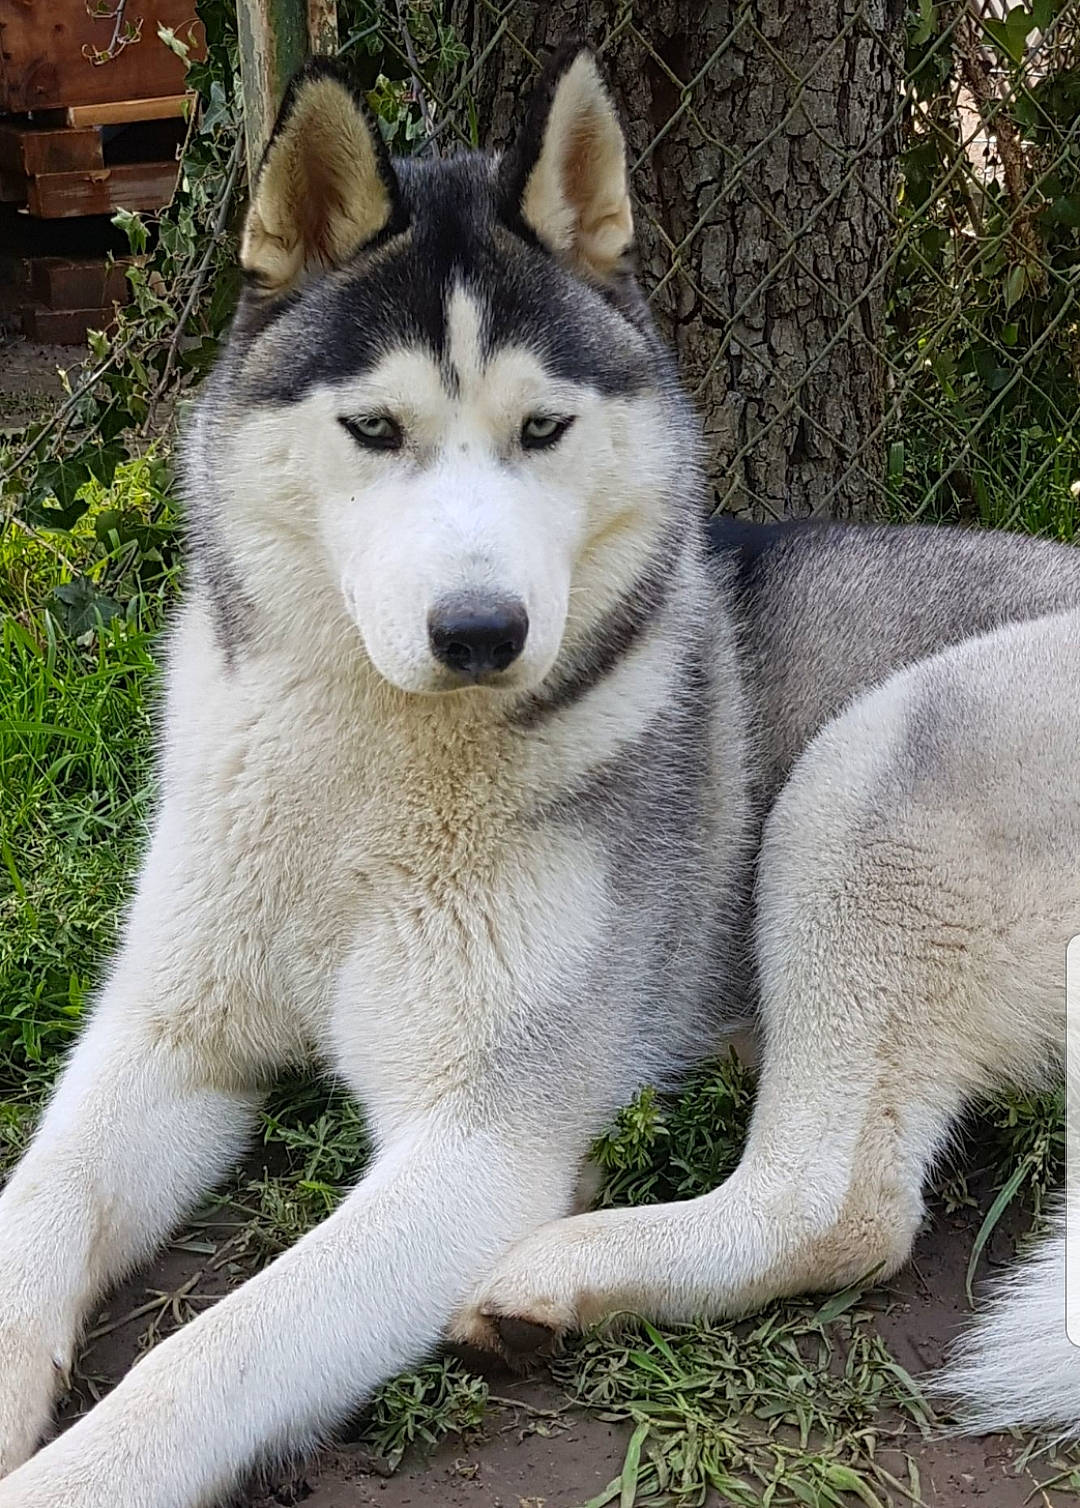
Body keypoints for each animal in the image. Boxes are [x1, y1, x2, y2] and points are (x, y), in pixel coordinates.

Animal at [1, 44, 1079, 1507]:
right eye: (373, 428)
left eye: (546, 428)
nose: (481, 631)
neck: (369, 777)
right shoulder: (166, 1034)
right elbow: (38, 1205)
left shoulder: (474, 1151)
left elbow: (209, 1355)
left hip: (871, 765)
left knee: (838, 1207)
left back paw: (561, 1274)